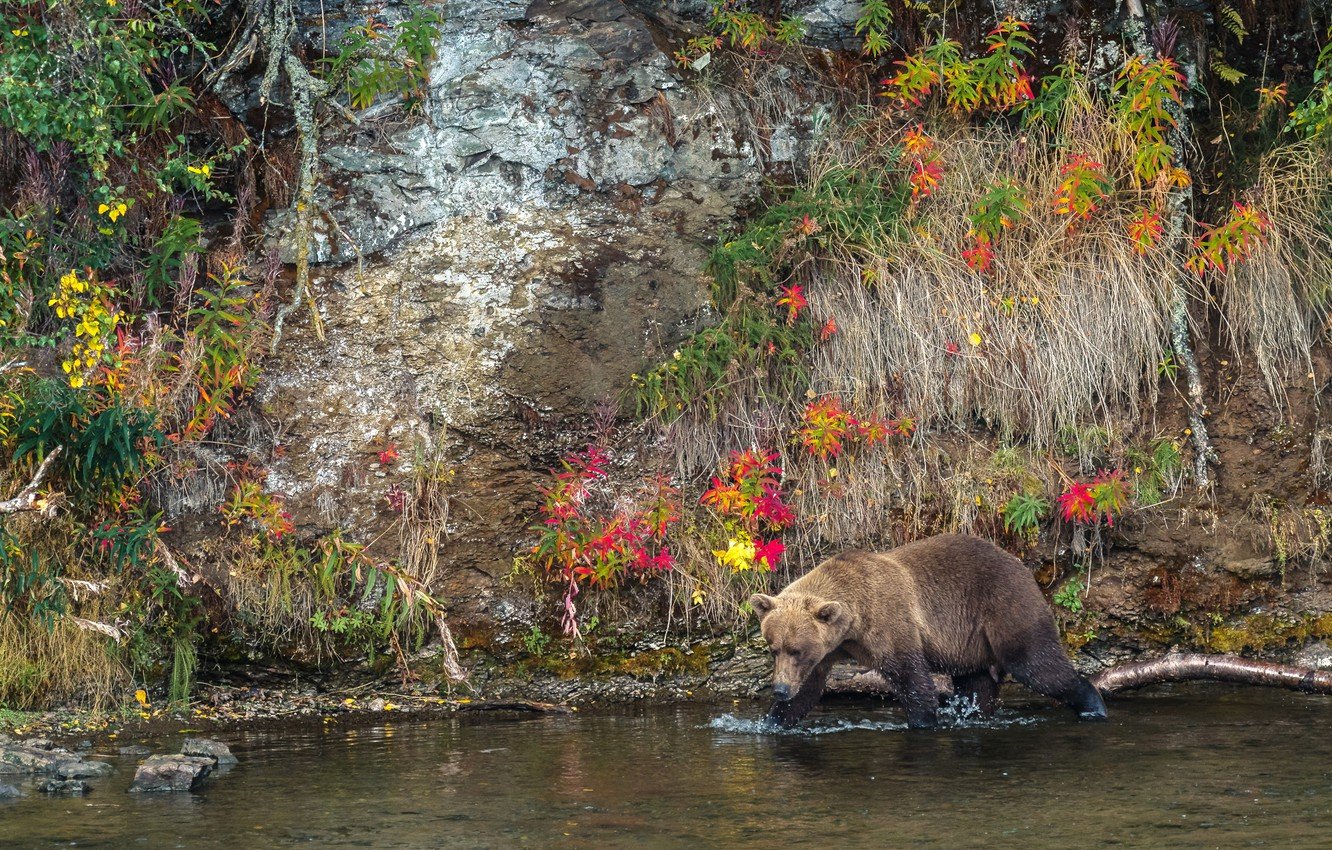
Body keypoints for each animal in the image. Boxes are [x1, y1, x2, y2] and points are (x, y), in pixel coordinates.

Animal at [756, 535, 1108, 730]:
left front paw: (923, 721)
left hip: (1006, 606)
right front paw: (772, 721)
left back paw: (1093, 705)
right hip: (972, 643)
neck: (854, 622)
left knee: (1036, 663)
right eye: (775, 648)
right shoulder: (830, 648)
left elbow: (911, 677)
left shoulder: (890, 622)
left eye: (797, 649)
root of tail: (1023, 566)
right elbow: (808, 689)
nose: (779, 689)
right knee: (978, 685)